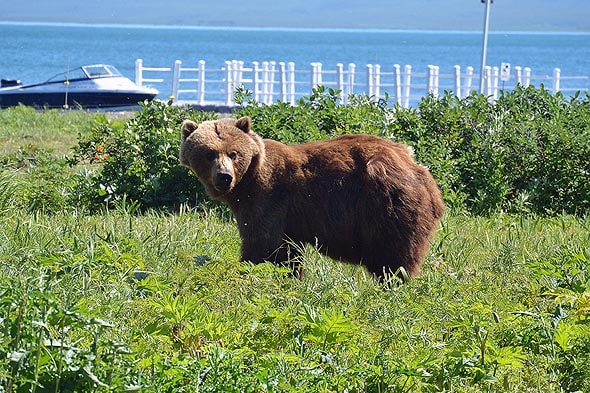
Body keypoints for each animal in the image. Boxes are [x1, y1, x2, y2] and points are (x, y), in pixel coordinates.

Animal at [180, 116, 444, 278]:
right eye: (209, 154)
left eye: (233, 153)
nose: (224, 176)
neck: (246, 184)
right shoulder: (288, 220)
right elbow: (288, 253)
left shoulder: (269, 199)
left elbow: (263, 244)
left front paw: (250, 268)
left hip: (388, 206)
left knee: (392, 259)